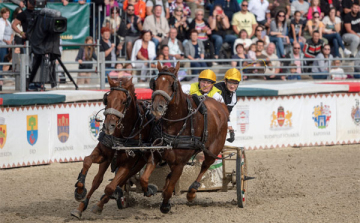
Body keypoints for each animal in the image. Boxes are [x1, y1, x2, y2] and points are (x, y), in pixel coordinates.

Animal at [70, 76, 155, 218]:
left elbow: (110, 187)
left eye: (124, 101)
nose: (108, 126)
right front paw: (80, 191)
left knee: (118, 183)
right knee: (97, 180)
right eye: (107, 99)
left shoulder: (127, 164)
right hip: (109, 160)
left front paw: (99, 205)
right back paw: (81, 207)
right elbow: (87, 161)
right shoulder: (103, 153)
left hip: (137, 164)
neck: (120, 135)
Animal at [141, 61, 228, 213]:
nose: (157, 107)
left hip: (213, 149)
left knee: (205, 165)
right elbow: (144, 179)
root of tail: (221, 106)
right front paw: (150, 190)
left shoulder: (180, 164)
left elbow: (170, 189)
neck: (175, 125)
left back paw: (192, 192)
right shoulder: (157, 154)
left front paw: (165, 205)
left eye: (172, 84)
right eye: (155, 83)